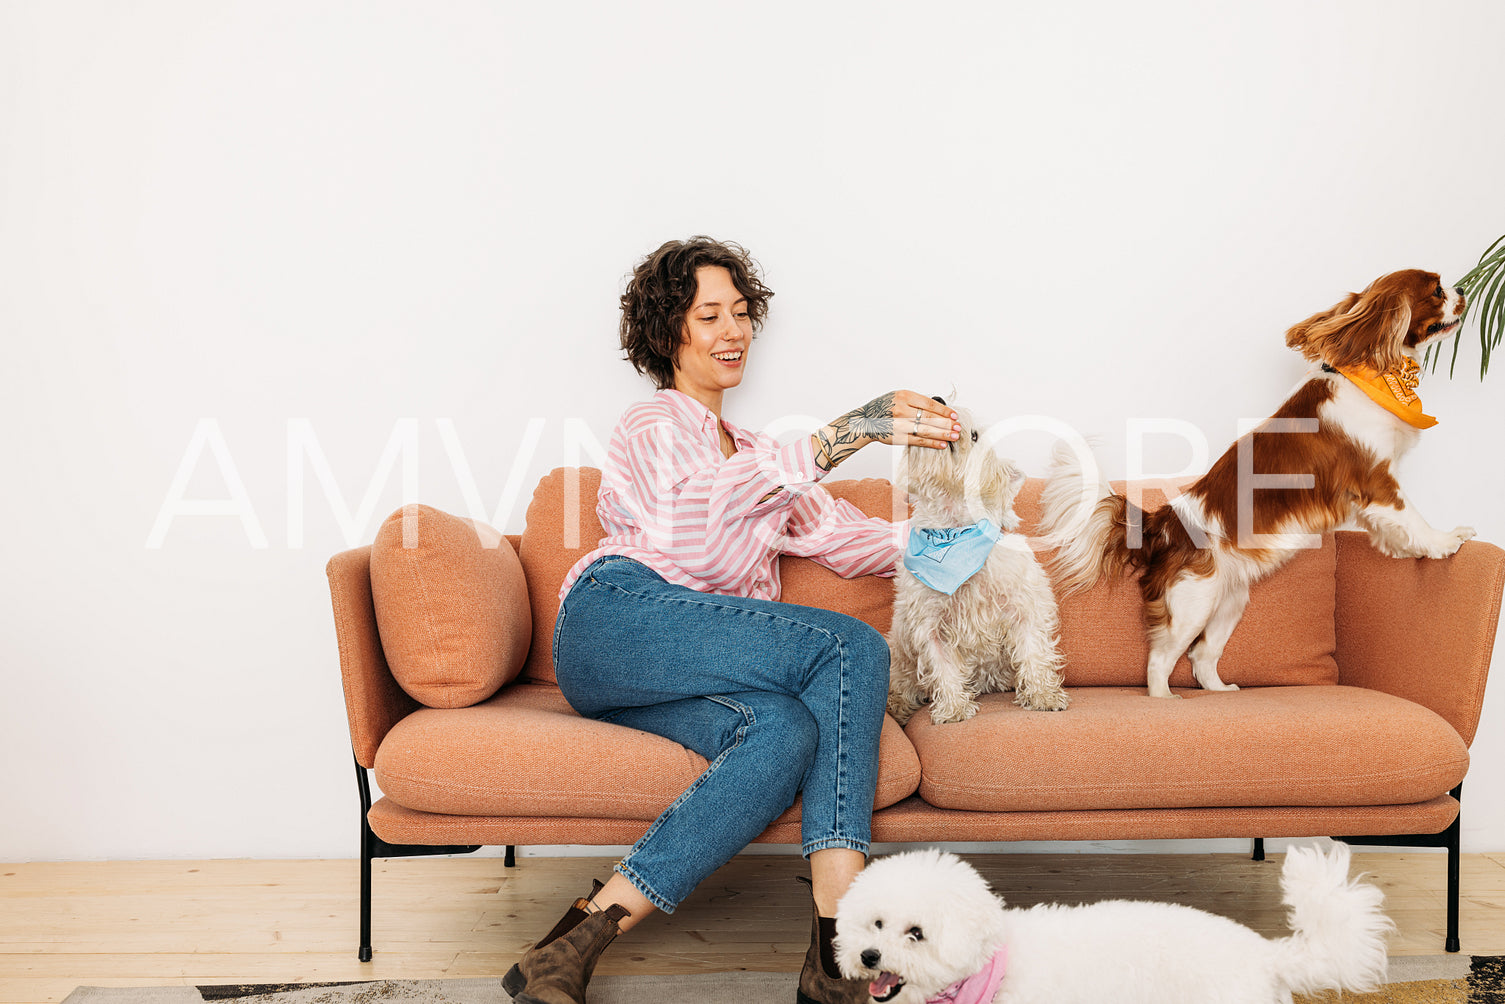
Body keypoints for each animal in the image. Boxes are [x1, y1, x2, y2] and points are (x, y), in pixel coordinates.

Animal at [878, 397, 1071, 722]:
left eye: (976, 435)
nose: (938, 399)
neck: (952, 533)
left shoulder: (1024, 609)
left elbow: (1033, 652)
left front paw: (1044, 695)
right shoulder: (931, 625)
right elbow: (943, 666)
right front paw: (954, 708)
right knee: (902, 684)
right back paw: (897, 705)